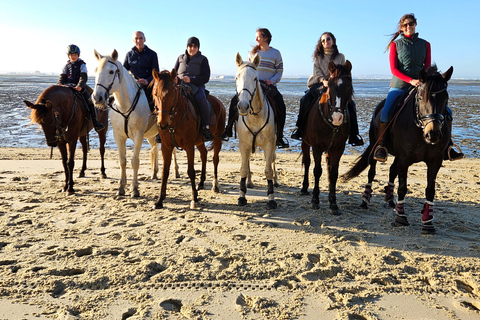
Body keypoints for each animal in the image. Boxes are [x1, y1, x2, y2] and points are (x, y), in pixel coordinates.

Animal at [92, 49, 178, 198]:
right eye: (96, 70)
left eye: (111, 71)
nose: (97, 97)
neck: (125, 105)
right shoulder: (118, 136)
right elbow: (122, 161)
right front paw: (121, 188)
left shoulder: (138, 136)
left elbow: (134, 162)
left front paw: (134, 189)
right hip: (151, 135)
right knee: (154, 149)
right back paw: (154, 173)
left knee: (171, 151)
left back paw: (177, 172)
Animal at [152, 69, 227, 209]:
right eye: (155, 93)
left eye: (172, 94)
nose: (162, 124)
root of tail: (220, 103)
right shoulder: (166, 146)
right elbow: (165, 172)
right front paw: (159, 200)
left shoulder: (189, 146)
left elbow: (191, 171)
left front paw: (194, 199)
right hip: (200, 141)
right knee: (204, 154)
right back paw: (201, 183)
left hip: (217, 138)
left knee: (215, 159)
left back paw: (215, 186)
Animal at [232, 52, 278, 210]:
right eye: (236, 77)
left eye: (255, 78)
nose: (243, 106)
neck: (255, 116)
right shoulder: (244, 145)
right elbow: (243, 169)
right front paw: (242, 196)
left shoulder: (269, 144)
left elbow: (268, 170)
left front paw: (271, 198)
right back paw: (249, 182)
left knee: (273, 161)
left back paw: (276, 180)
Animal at [302, 60, 354, 215]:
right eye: (329, 85)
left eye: (348, 85)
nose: (337, 118)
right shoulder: (316, 147)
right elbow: (317, 171)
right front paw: (315, 200)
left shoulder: (338, 148)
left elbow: (333, 173)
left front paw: (333, 203)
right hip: (305, 143)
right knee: (307, 163)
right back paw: (304, 188)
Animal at [342, 65, 454, 235]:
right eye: (420, 98)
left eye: (445, 99)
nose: (433, 134)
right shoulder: (405, 158)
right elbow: (402, 188)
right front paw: (401, 217)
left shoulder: (435, 160)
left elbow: (430, 190)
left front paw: (428, 222)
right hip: (376, 147)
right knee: (371, 172)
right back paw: (365, 199)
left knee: (392, 171)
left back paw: (390, 199)